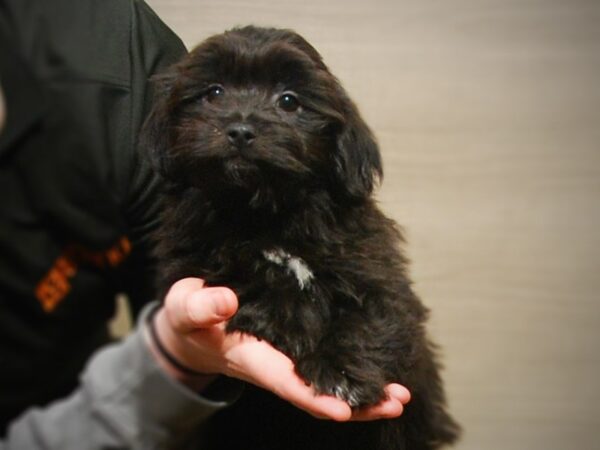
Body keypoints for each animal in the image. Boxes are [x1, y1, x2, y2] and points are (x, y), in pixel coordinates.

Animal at [144, 25, 460, 450]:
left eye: (289, 101)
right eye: (214, 92)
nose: (240, 129)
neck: (267, 212)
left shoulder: (375, 269)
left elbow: (367, 315)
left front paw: (341, 372)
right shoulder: (191, 260)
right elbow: (249, 275)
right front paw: (290, 316)